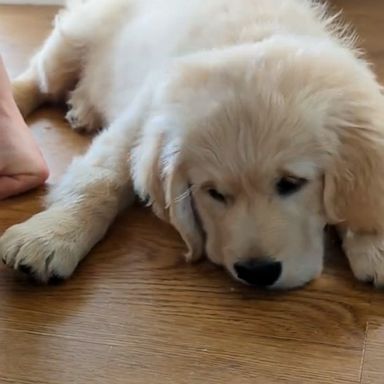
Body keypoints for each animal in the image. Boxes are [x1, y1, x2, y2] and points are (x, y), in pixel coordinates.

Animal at [0, 0, 384, 288]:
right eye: (213, 193)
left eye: (291, 184)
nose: (257, 272)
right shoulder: (140, 122)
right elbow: (98, 181)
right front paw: (50, 235)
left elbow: (363, 196)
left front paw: (373, 242)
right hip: (70, 45)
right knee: (38, 79)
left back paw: (82, 109)